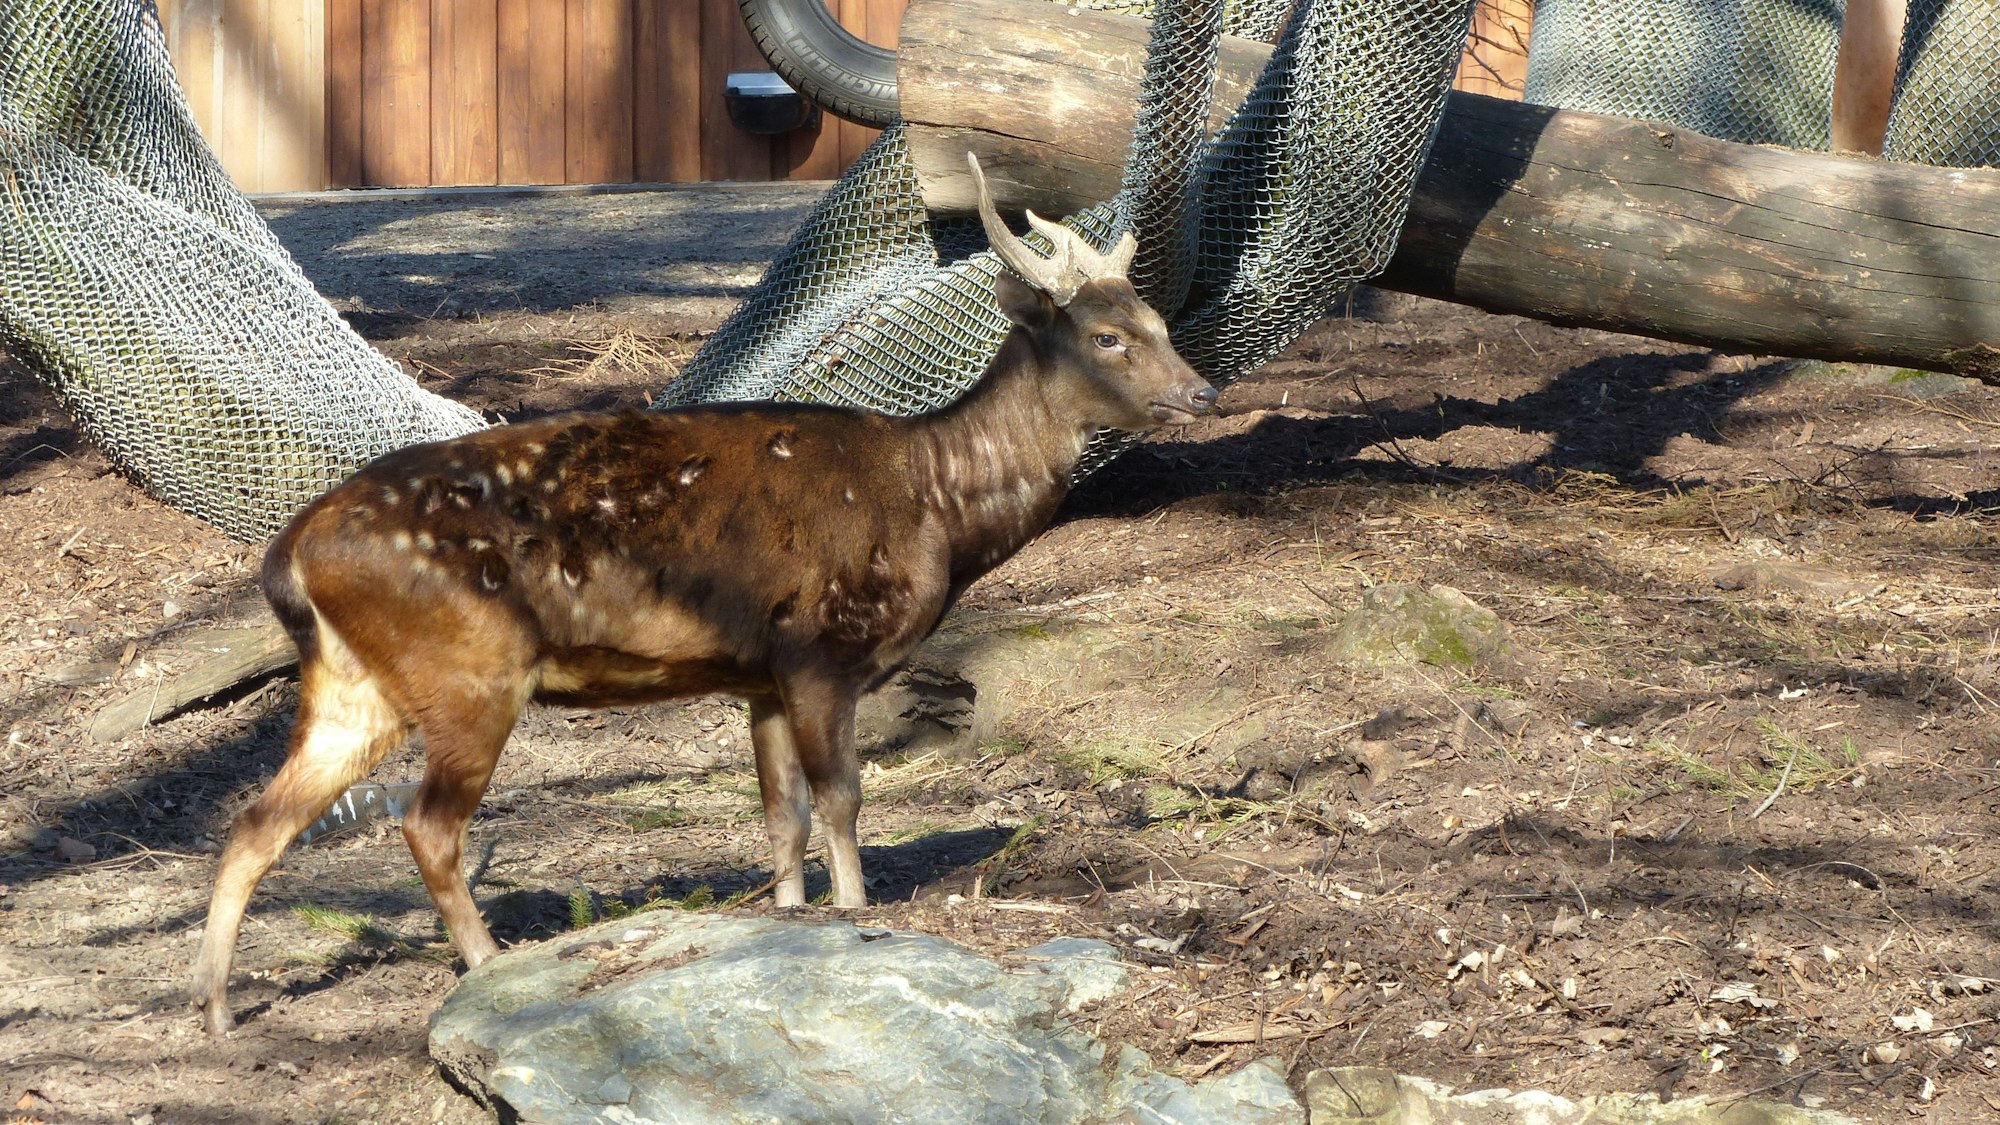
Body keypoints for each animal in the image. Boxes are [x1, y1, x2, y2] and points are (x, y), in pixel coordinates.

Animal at [190, 154, 1218, 1036]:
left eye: (1164, 323)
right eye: (1108, 337)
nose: (1203, 393)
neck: (935, 504)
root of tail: (289, 554)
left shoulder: (760, 672)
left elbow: (781, 816)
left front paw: (792, 915)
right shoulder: (819, 647)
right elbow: (841, 799)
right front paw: (858, 912)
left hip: (354, 683)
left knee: (253, 823)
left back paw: (218, 1007)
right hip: (466, 669)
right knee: (426, 824)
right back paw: (485, 962)